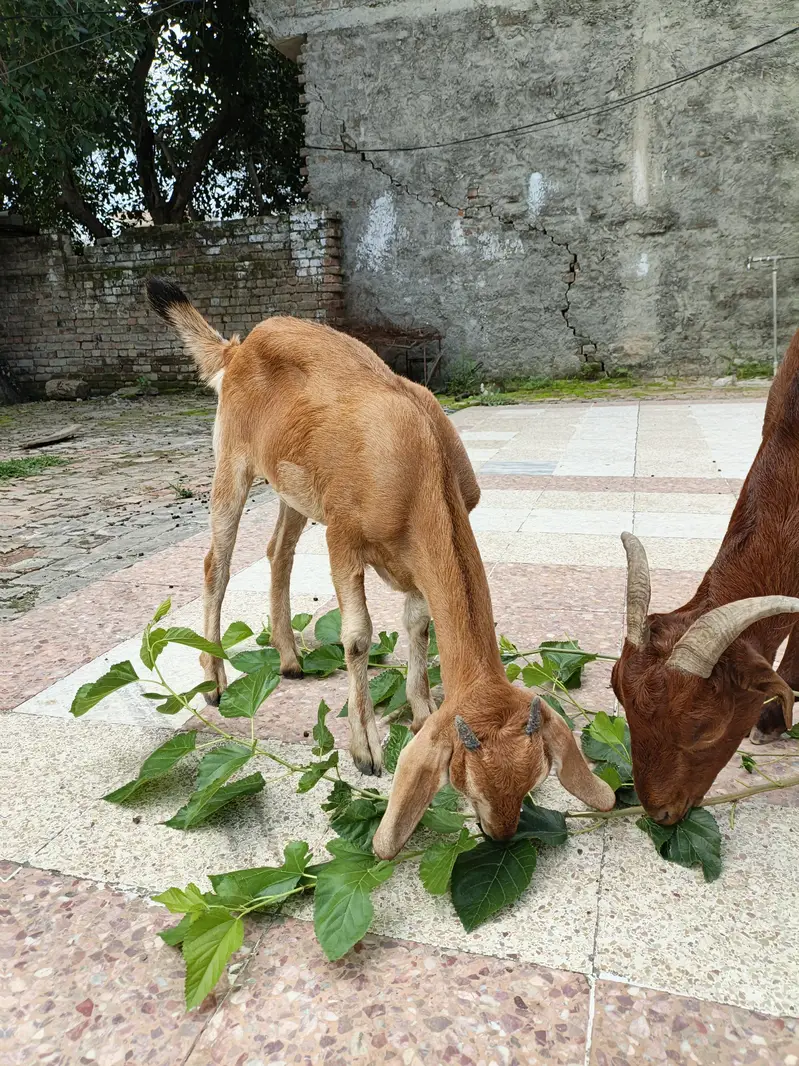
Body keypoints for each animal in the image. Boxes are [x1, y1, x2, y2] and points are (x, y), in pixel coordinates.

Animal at [146, 278, 614, 860]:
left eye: (535, 777)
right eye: (466, 784)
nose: (501, 836)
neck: (414, 460)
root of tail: (236, 349)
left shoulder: (415, 558)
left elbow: (418, 624)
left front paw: (420, 708)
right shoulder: (344, 537)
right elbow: (357, 637)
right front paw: (366, 748)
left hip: (295, 490)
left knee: (279, 551)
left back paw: (290, 658)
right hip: (232, 464)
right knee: (218, 563)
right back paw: (213, 681)